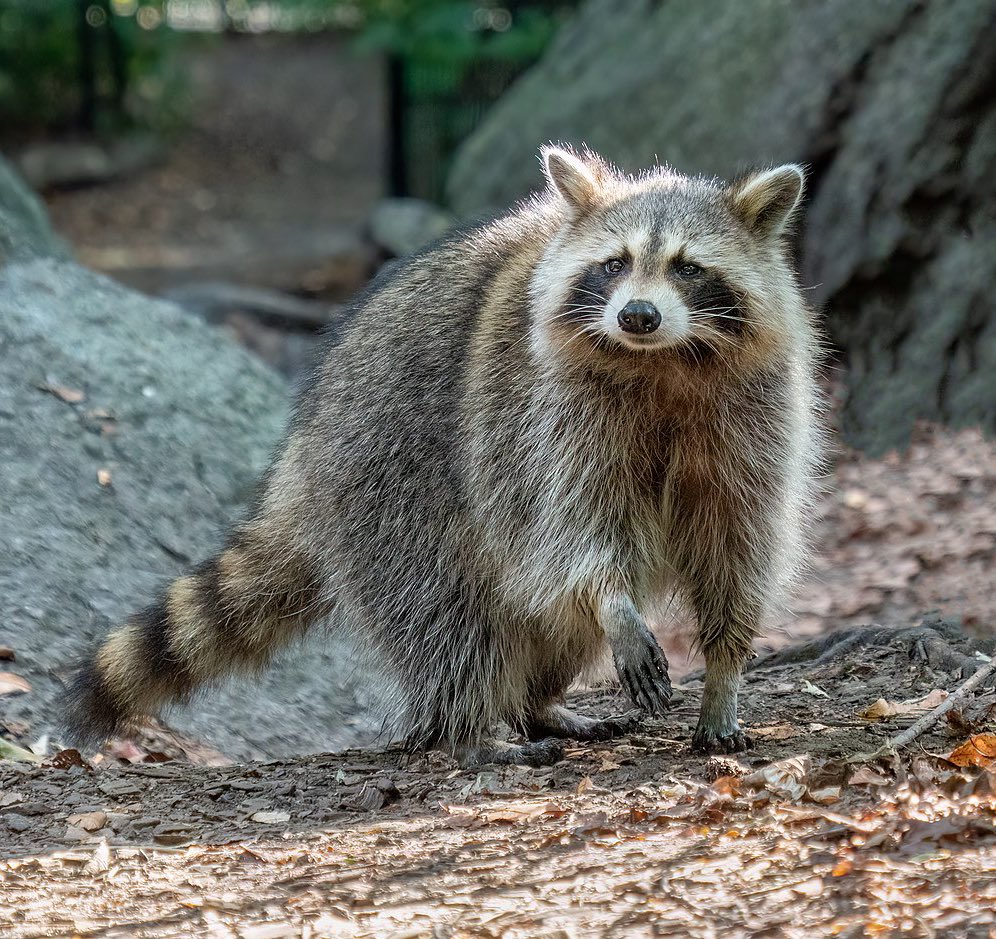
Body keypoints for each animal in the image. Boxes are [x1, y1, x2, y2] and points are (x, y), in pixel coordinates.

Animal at [64, 145, 821, 765]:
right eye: (614, 264)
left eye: (689, 268)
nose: (637, 315)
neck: (663, 361)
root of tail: (302, 454)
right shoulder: (542, 414)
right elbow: (573, 528)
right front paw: (615, 604)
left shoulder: (754, 416)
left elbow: (738, 542)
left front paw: (724, 671)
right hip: (388, 477)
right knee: (447, 609)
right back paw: (470, 726)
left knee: (544, 619)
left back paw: (538, 702)